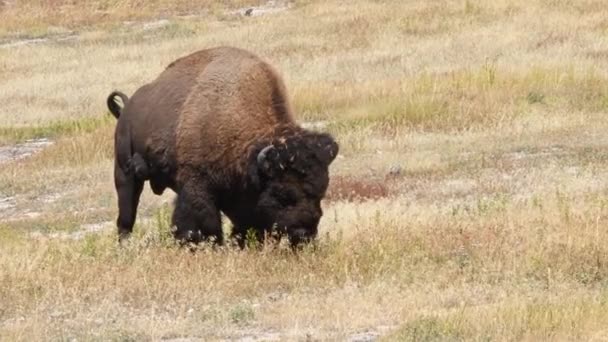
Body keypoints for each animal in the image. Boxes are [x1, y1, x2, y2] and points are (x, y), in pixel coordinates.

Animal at [107, 46, 340, 247]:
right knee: (127, 212)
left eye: (321, 192)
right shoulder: (197, 184)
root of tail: (126, 109)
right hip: (124, 172)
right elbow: (203, 220)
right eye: (282, 195)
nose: (304, 234)